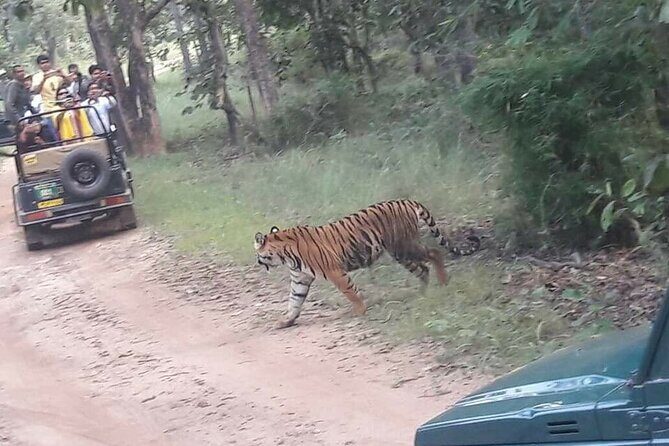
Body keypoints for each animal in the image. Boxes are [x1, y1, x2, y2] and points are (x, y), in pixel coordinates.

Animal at [254, 199, 480, 329]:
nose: (257, 262)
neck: (285, 255)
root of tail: (406, 200)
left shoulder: (335, 272)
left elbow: (350, 291)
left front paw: (360, 311)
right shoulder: (300, 279)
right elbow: (294, 301)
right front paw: (286, 321)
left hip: (404, 246)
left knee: (435, 253)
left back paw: (442, 282)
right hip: (401, 253)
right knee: (423, 269)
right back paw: (423, 292)